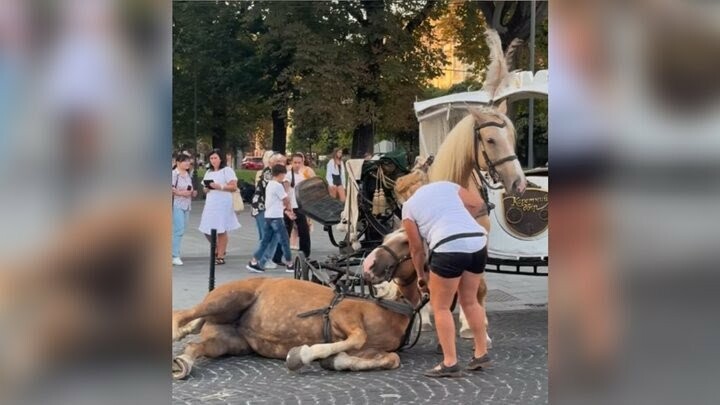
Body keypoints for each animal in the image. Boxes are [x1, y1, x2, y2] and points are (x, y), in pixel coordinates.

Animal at [172, 276, 424, 378]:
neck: (391, 308)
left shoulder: (370, 350)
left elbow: (392, 359)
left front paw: (335, 361)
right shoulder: (343, 315)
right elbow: (358, 337)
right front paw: (302, 355)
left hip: (228, 343)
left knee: (195, 346)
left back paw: (183, 363)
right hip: (230, 298)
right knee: (183, 316)